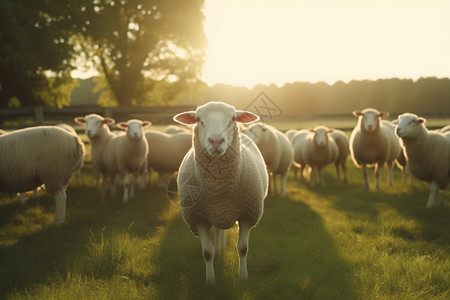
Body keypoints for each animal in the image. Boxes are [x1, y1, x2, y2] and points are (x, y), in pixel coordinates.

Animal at [173, 102, 268, 282]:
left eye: (232, 119)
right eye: (199, 120)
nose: (216, 141)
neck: (219, 192)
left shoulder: (247, 215)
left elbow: (243, 248)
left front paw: (243, 277)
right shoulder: (198, 217)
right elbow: (207, 252)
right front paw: (210, 281)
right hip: (214, 213)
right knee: (218, 231)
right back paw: (219, 250)